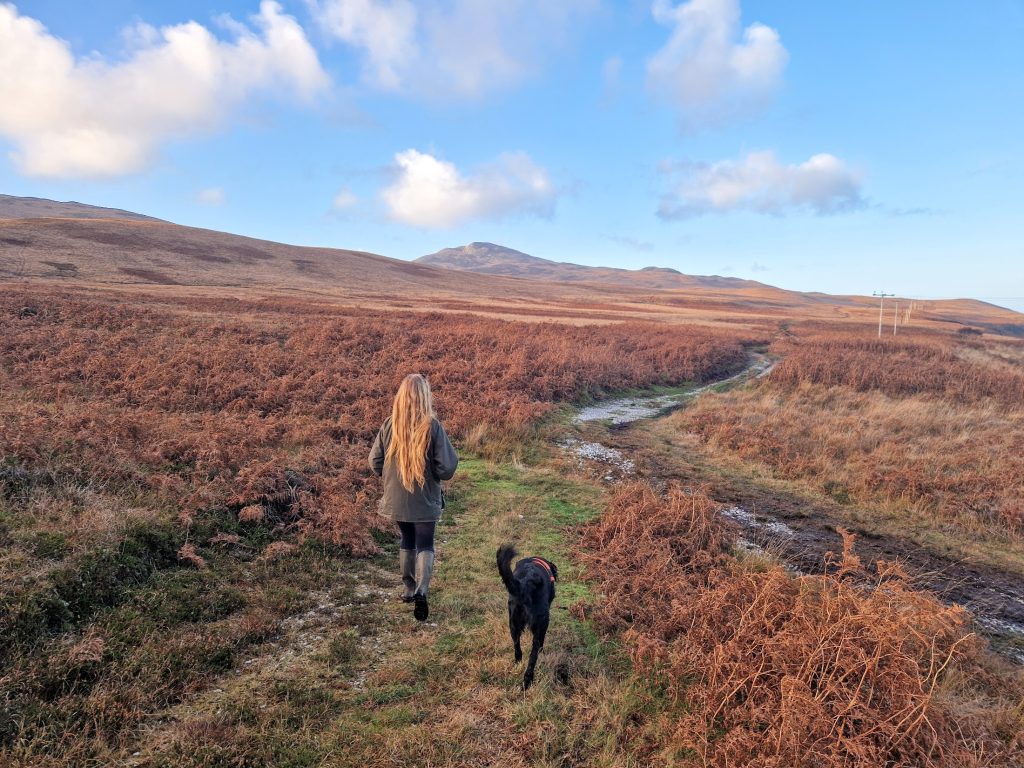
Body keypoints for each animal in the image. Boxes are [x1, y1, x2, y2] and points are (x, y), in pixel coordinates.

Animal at [497, 544, 561, 688]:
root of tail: (525, 584)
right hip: (541, 624)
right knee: (534, 655)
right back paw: (528, 680)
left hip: (513, 624)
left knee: (517, 647)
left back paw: (518, 663)